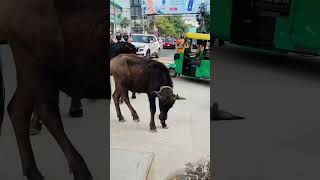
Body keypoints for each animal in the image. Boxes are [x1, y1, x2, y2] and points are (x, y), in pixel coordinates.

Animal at [0, 0, 107, 180]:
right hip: (40, 59)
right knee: (45, 112)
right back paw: (81, 171)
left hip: (33, 67)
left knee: (18, 109)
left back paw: (34, 172)